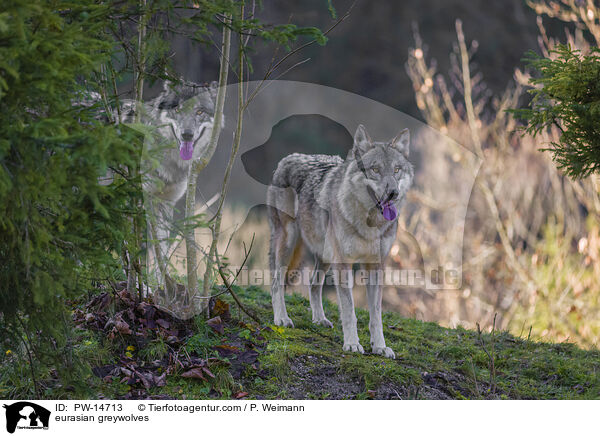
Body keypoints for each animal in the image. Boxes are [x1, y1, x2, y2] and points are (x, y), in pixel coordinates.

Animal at [266, 122, 412, 358]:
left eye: (397, 170)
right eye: (375, 169)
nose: (393, 193)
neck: (370, 224)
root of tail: (287, 158)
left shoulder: (375, 266)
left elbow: (376, 315)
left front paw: (380, 347)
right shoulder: (343, 263)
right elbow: (349, 310)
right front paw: (352, 344)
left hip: (325, 256)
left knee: (313, 284)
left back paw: (319, 319)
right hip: (287, 243)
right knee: (275, 282)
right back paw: (281, 318)